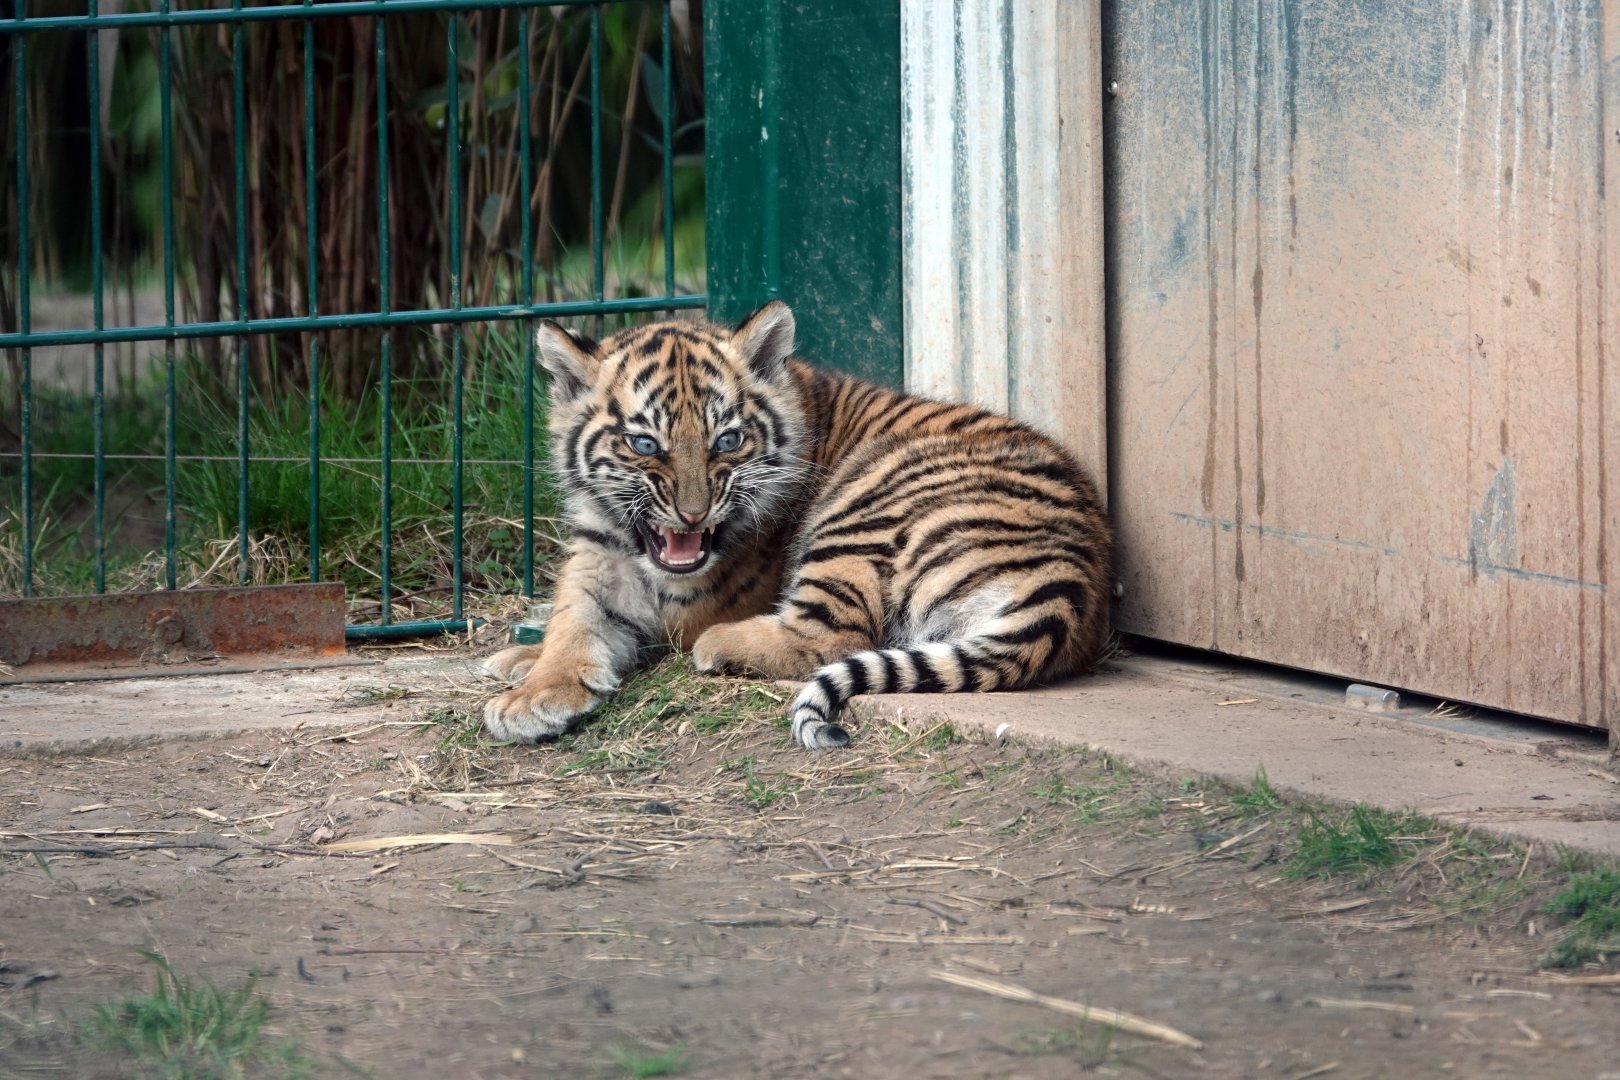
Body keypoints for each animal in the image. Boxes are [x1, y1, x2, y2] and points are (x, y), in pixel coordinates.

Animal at [481, 301, 1113, 749]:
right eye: (644, 445)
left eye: (728, 441)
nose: (693, 513)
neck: (632, 544)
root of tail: (1075, 582)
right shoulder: (595, 557)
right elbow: (571, 622)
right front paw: (531, 681)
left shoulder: (689, 598)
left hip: (863, 501)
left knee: (835, 635)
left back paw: (720, 645)